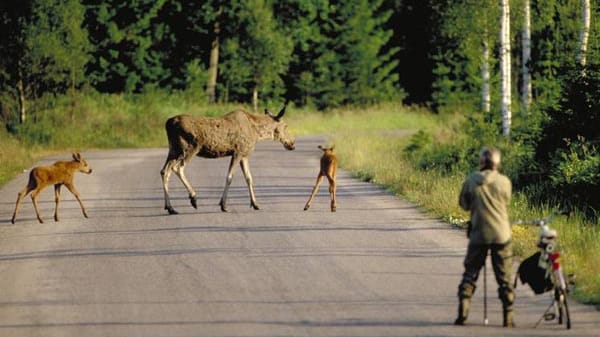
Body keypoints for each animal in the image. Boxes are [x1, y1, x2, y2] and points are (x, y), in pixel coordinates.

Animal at [161, 103, 294, 213]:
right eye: (285, 126)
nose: (292, 143)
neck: (257, 133)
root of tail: (168, 123)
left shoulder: (244, 155)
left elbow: (249, 178)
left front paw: (255, 204)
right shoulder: (237, 152)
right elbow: (230, 177)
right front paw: (223, 205)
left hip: (173, 150)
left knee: (164, 171)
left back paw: (170, 208)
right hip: (191, 147)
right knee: (178, 168)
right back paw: (193, 198)